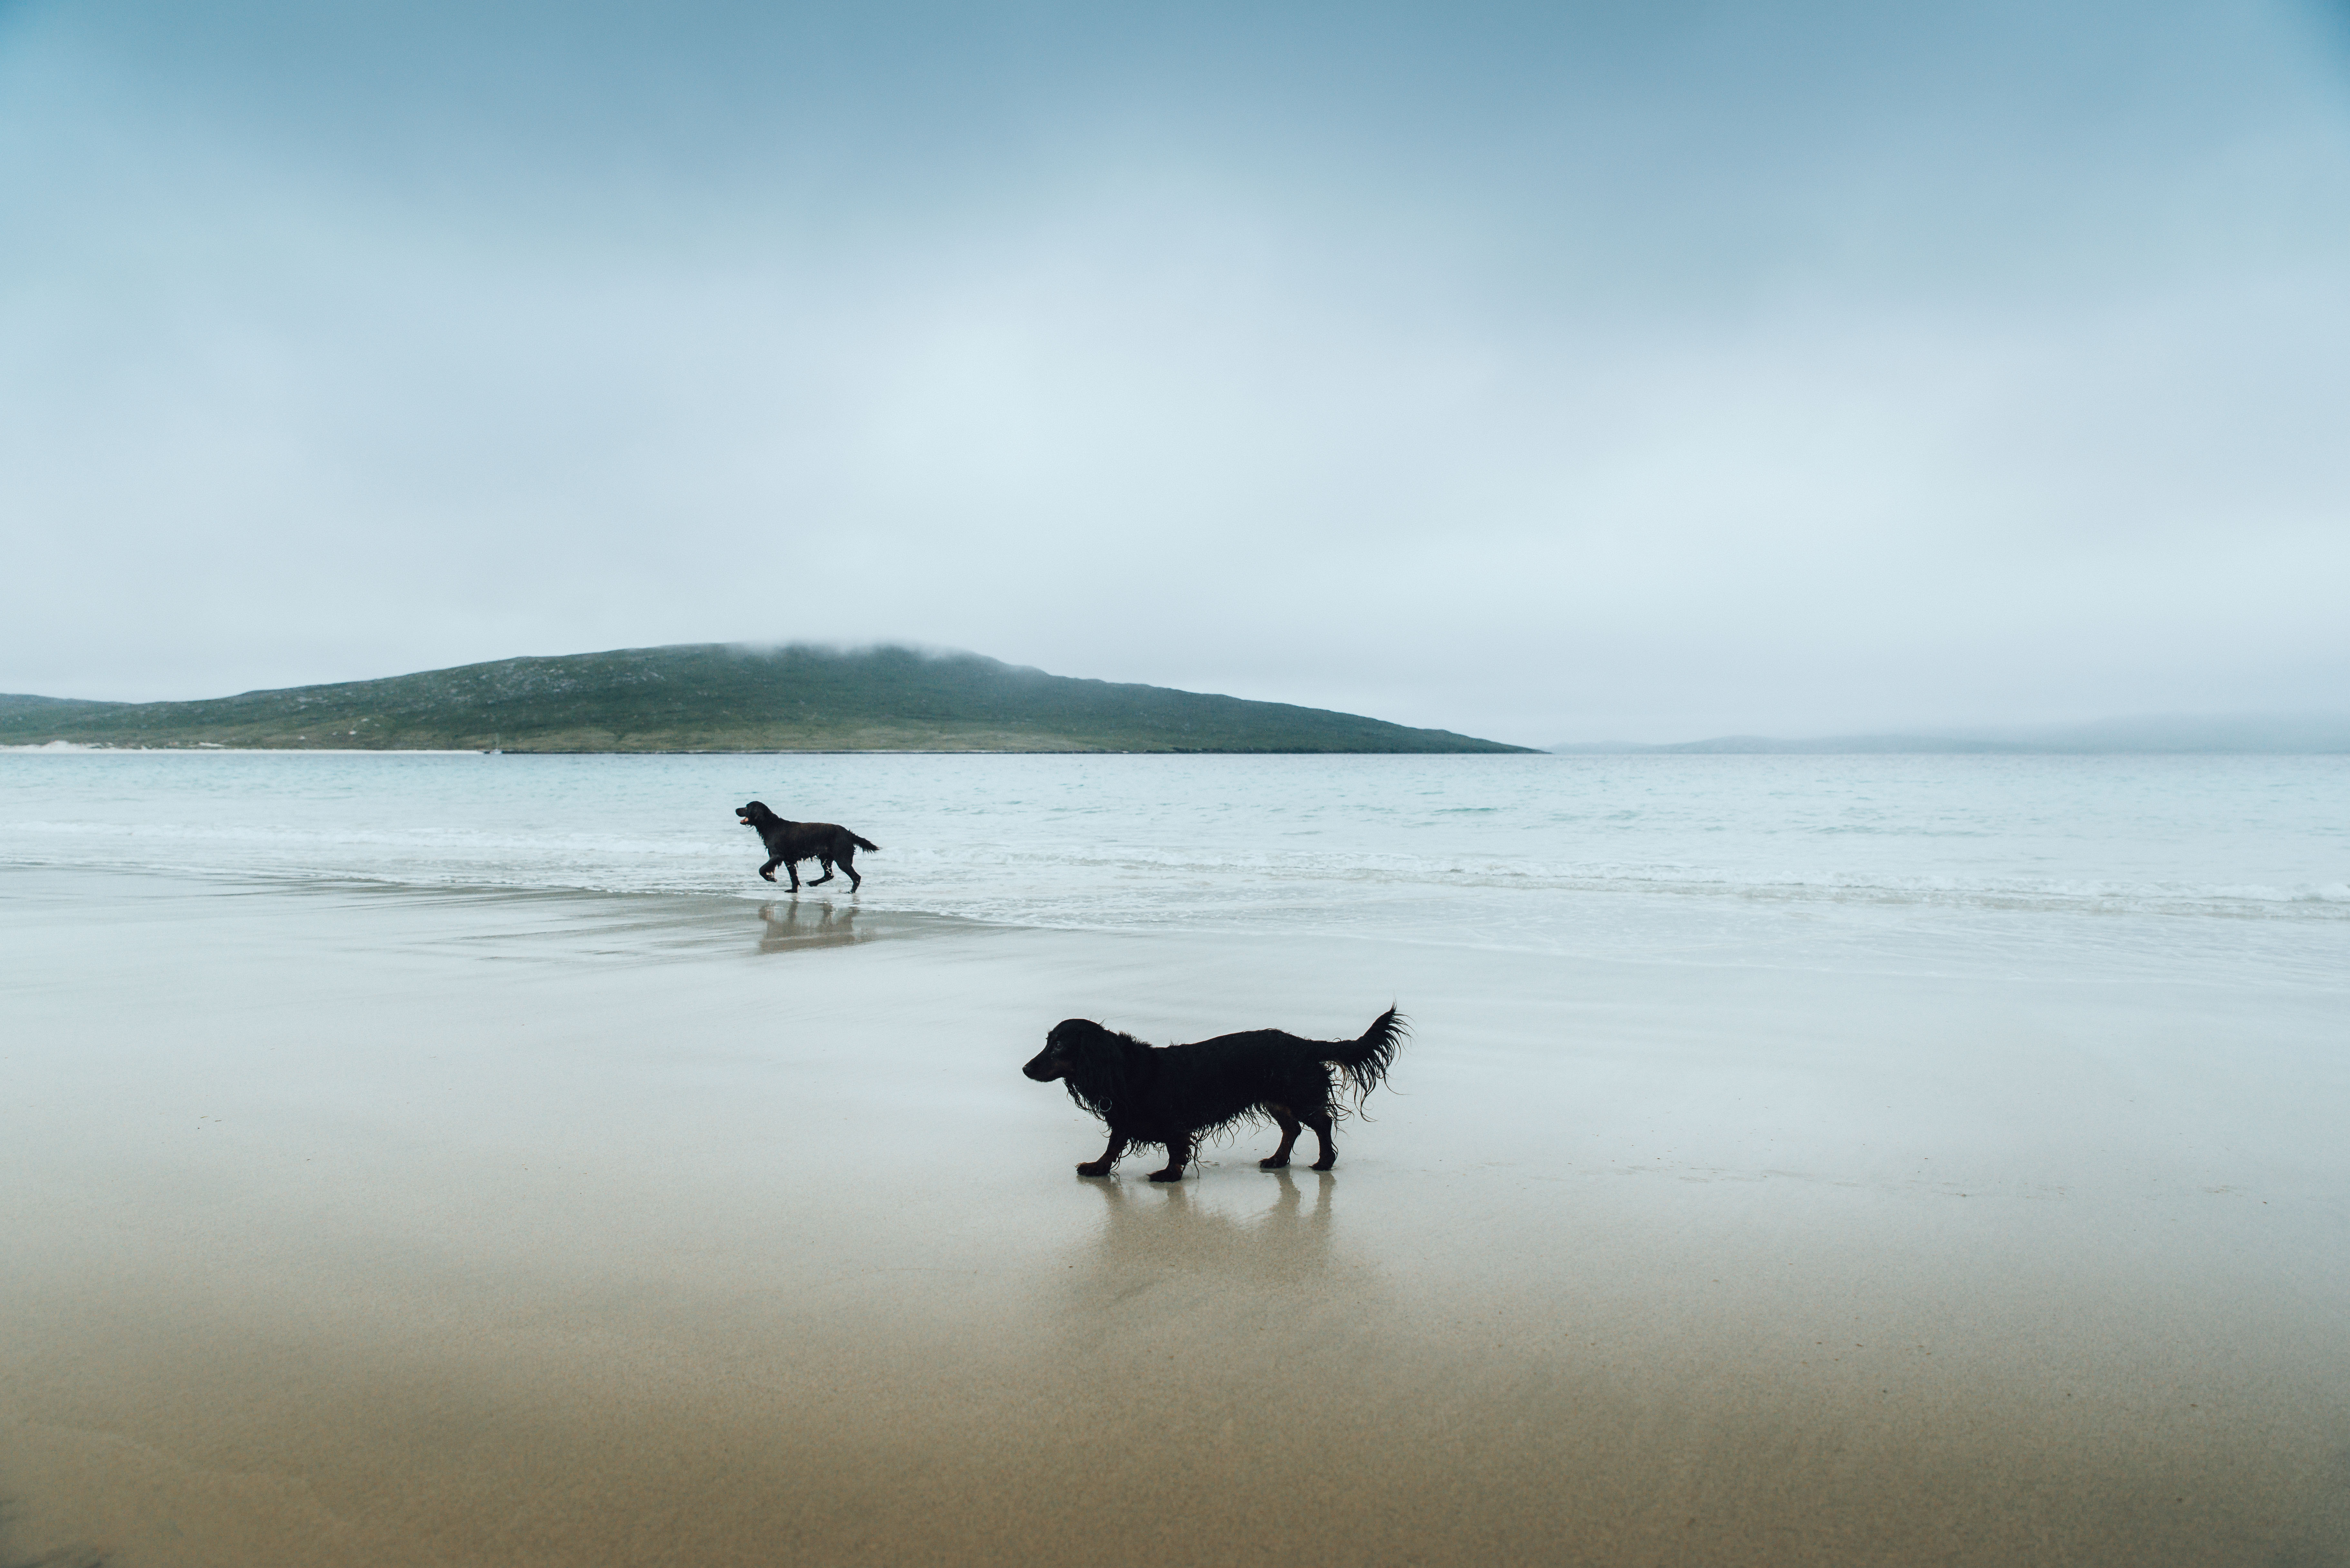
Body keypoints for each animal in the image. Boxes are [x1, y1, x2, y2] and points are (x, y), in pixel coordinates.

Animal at [733, 804, 883, 888]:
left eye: (747, 807)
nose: (736, 809)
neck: (770, 825)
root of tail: (848, 833)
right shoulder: (788, 860)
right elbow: (794, 878)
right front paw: (793, 890)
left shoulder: (777, 856)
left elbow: (762, 870)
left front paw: (771, 879)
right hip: (826, 859)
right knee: (829, 875)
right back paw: (813, 883)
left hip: (843, 861)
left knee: (856, 878)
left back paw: (850, 892)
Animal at [1020, 1011, 1401, 1185]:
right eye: (1048, 1041)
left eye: (1058, 1045)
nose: (1024, 1068)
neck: (1125, 1069)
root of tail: (1305, 1044)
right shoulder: (1125, 1118)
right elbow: (1113, 1146)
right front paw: (1097, 1167)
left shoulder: (1172, 1121)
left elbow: (1176, 1148)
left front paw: (1169, 1174)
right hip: (1275, 1099)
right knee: (1292, 1129)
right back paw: (1278, 1160)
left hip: (1298, 1094)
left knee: (1321, 1122)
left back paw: (1324, 1161)